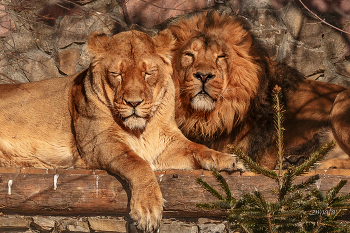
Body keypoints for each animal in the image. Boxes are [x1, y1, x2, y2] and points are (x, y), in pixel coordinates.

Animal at [0, 30, 241, 232]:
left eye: (147, 73)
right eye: (117, 73)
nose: (133, 103)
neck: (141, 129)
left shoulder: (165, 145)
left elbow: (198, 148)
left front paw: (229, 160)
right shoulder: (98, 143)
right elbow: (138, 164)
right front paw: (147, 210)